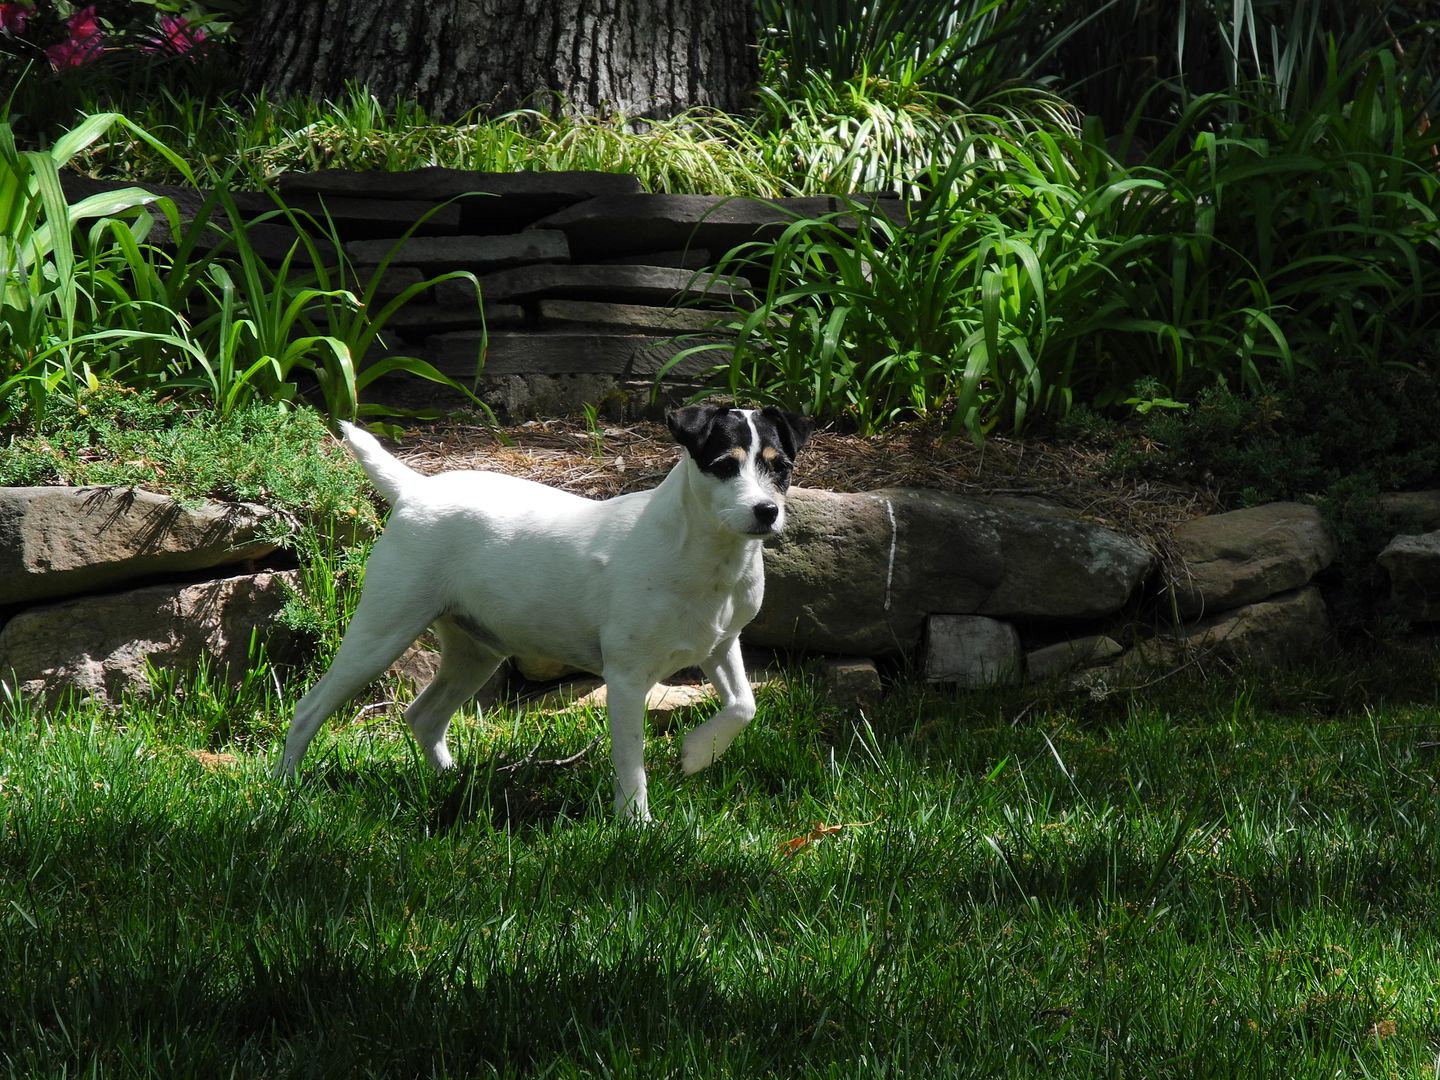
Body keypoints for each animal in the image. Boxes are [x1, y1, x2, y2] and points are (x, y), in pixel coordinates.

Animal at [270, 403, 812, 817]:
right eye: (723, 464)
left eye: (780, 467)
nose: (766, 511)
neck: (703, 554)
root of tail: (416, 491)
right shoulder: (627, 677)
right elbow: (630, 759)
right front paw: (636, 823)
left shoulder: (720, 646)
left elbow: (744, 705)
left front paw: (698, 753)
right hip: (382, 631)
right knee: (310, 708)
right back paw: (285, 788)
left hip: (474, 652)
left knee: (424, 715)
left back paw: (454, 781)